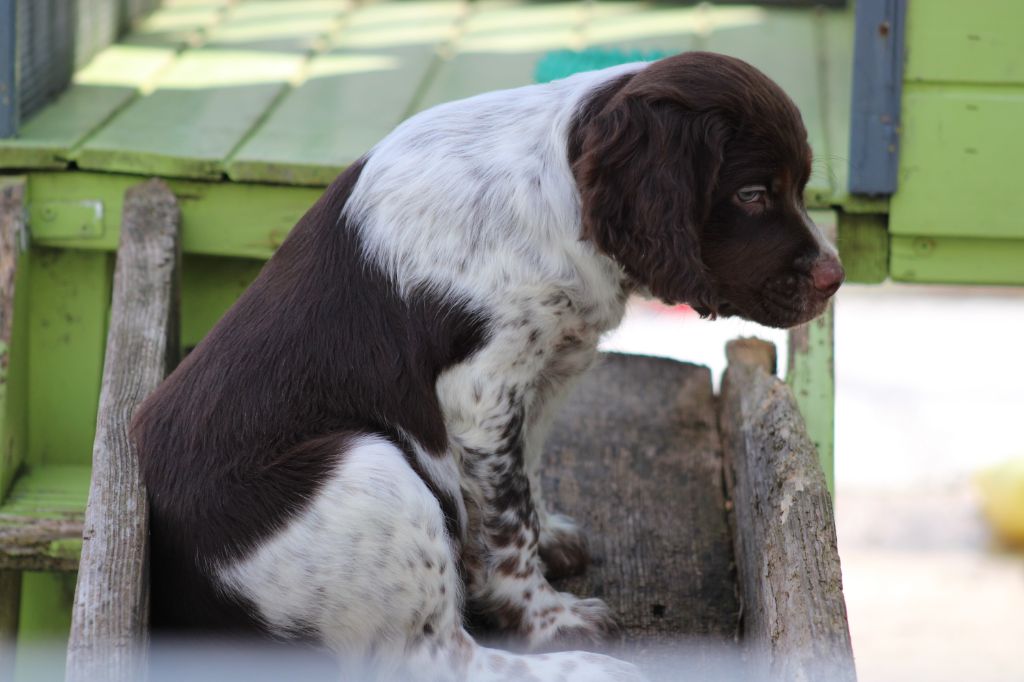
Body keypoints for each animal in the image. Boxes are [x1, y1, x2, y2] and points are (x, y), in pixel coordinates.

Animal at [134, 51, 839, 679]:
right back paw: (588, 670)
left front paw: (549, 534)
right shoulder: (479, 393)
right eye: (752, 193)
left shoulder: (543, 372)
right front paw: (547, 617)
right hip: (366, 467)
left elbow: (522, 480)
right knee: (437, 658)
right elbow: (506, 520)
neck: (552, 196)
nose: (834, 279)